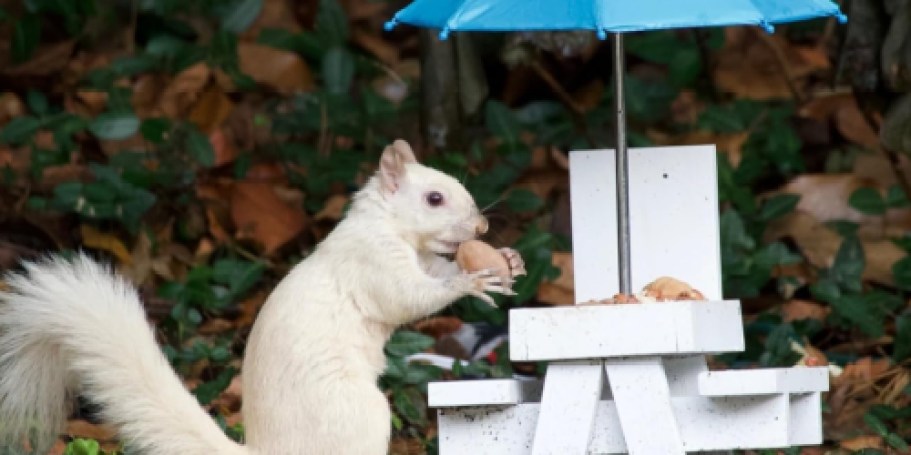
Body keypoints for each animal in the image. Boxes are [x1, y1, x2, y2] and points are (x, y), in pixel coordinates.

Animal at [0, 140, 528, 455]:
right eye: (434, 199)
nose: (482, 227)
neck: (385, 224)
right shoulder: (372, 261)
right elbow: (410, 297)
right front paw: (470, 283)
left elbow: (432, 273)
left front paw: (505, 261)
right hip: (357, 418)